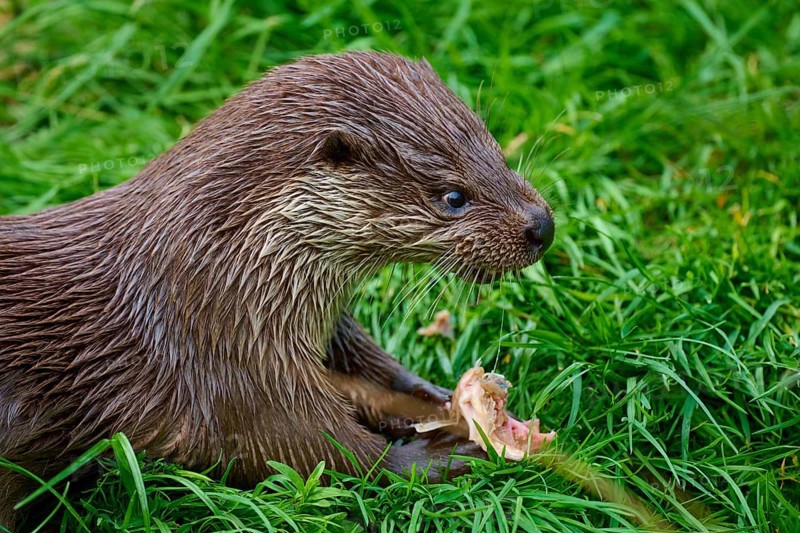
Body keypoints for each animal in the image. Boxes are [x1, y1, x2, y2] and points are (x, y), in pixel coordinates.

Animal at [0, 51, 554, 527]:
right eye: (453, 196)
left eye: (497, 151)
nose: (542, 226)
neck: (212, 274)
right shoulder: (218, 367)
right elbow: (303, 447)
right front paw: (436, 455)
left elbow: (375, 378)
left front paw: (445, 403)